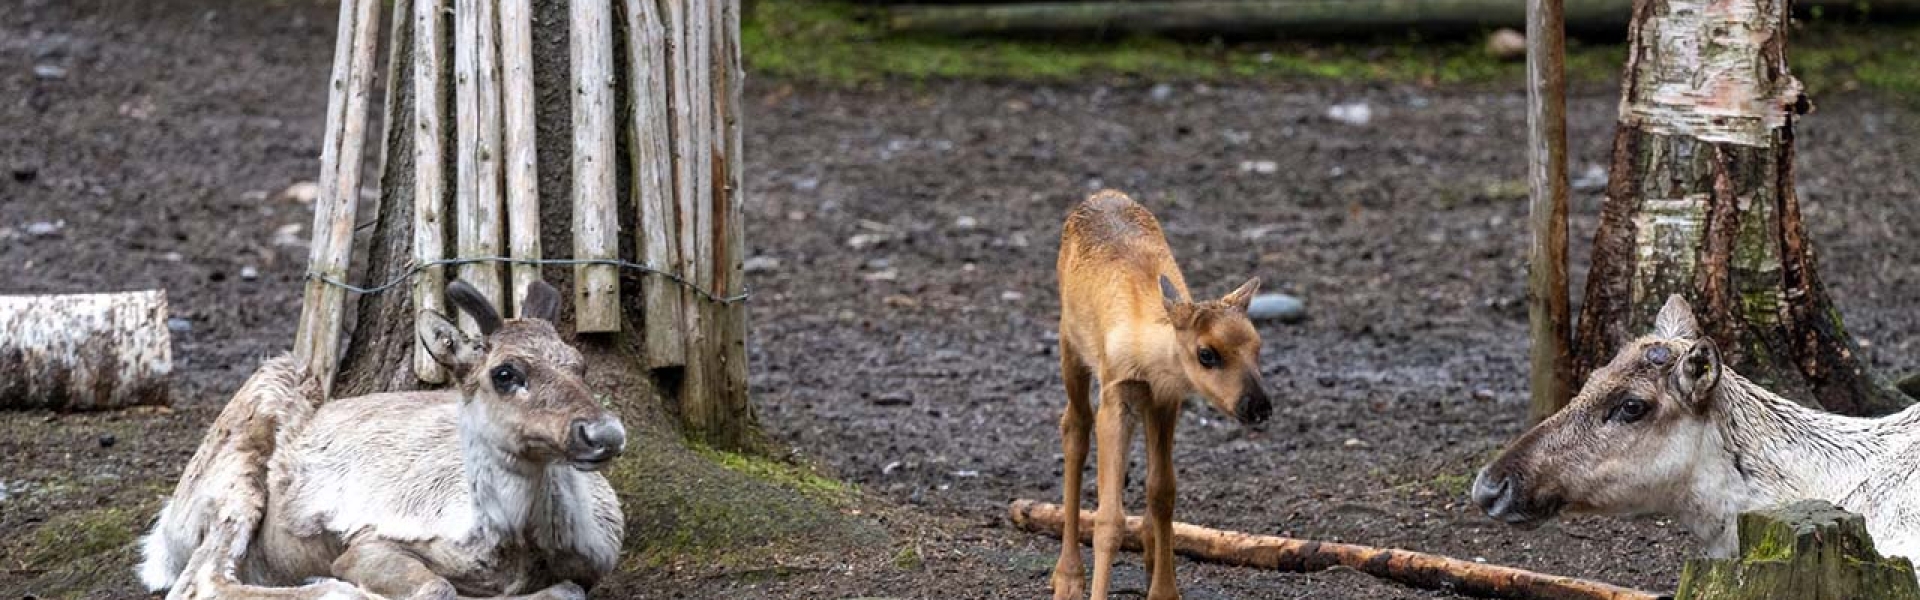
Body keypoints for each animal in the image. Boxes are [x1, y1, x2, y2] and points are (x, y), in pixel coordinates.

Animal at [139, 282, 625, 600]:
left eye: (579, 364)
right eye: (505, 373)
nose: (604, 434)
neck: (517, 549)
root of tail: (161, 537)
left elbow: (568, 591)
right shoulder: (369, 543)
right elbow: (436, 587)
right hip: (239, 467)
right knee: (198, 580)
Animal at [1059, 188, 1267, 600]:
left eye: (1258, 346)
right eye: (1207, 353)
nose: (1259, 406)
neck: (1147, 353)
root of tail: (1100, 194)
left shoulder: (1166, 400)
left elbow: (1163, 490)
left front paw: (1164, 589)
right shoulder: (1117, 395)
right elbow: (1108, 518)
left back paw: (1148, 557)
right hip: (1069, 347)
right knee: (1074, 428)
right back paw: (1068, 577)